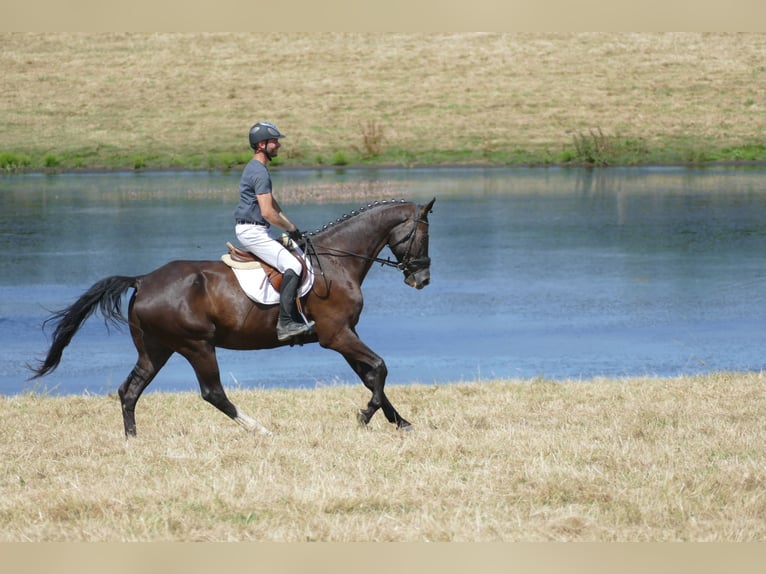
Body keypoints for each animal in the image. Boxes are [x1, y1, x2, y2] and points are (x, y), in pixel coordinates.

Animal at [30, 198, 435, 438]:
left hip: (156, 349)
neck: (336, 261)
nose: (422, 279)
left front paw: (400, 421)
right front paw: (366, 416)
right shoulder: (336, 335)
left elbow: (371, 376)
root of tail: (143, 280)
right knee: (213, 393)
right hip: (196, 345)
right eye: (423, 235)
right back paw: (260, 430)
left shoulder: (343, 334)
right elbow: (379, 368)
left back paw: (133, 439)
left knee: (129, 390)